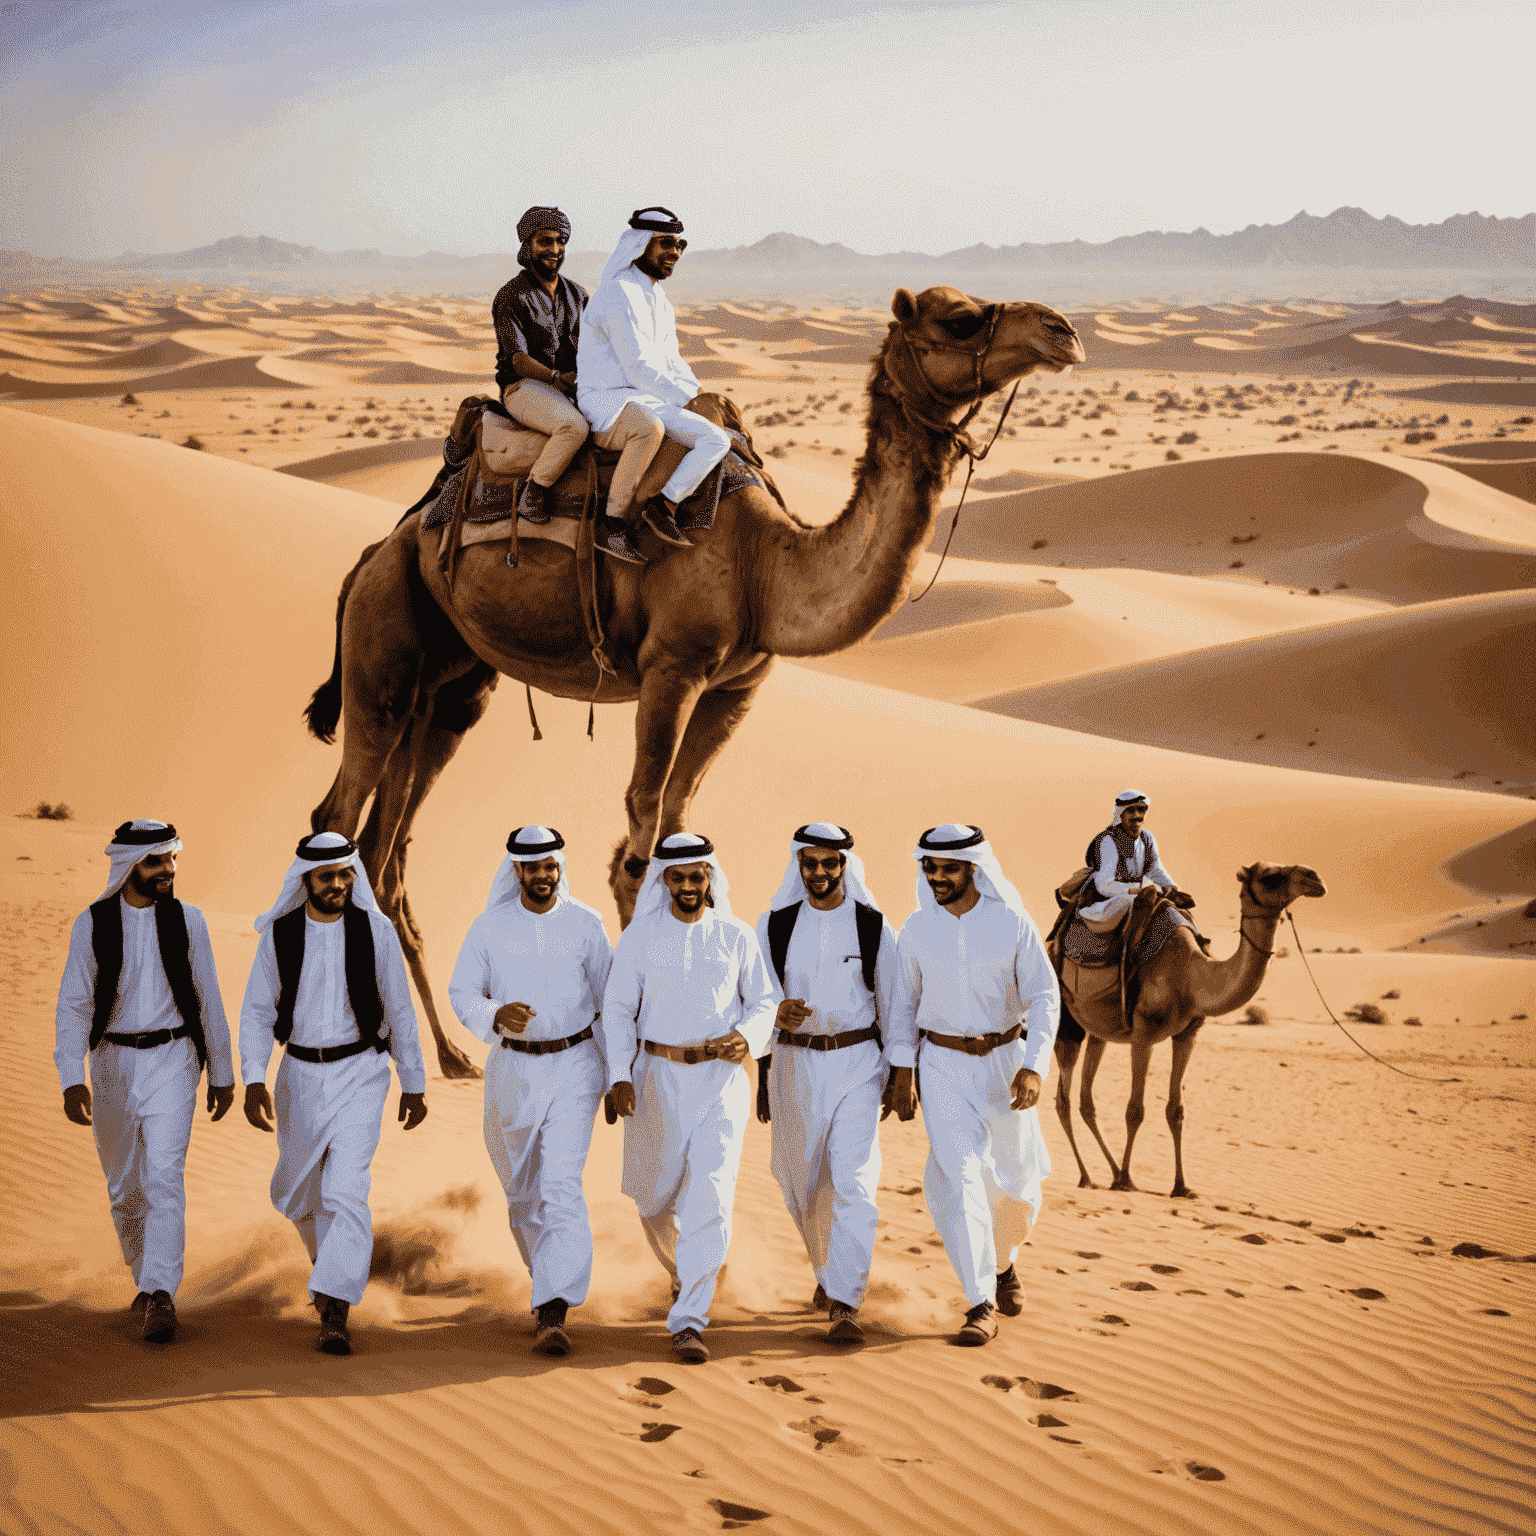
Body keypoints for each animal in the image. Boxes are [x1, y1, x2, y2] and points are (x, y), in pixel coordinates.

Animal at [299, 288, 1087, 1081]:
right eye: (960, 319)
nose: (1064, 332)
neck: (765, 565)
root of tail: (380, 548)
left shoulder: (735, 688)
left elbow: (679, 823)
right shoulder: (671, 668)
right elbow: (639, 836)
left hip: (451, 690)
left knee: (386, 848)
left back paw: (450, 1055)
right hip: (384, 644)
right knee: (339, 814)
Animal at [1050, 866, 1327, 1198]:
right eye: (1270, 877)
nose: (1316, 879)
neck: (1190, 976)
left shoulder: (1187, 1035)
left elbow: (1176, 1110)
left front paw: (1181, 1186)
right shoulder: (1143, 1034)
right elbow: (1135, 1109)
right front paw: (1128, 1180)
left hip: (1099, 1030)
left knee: (1085, 1100)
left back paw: (1108, 1173)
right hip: (1067, 1024)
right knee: (1063, 1100)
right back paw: (1090, 1175)